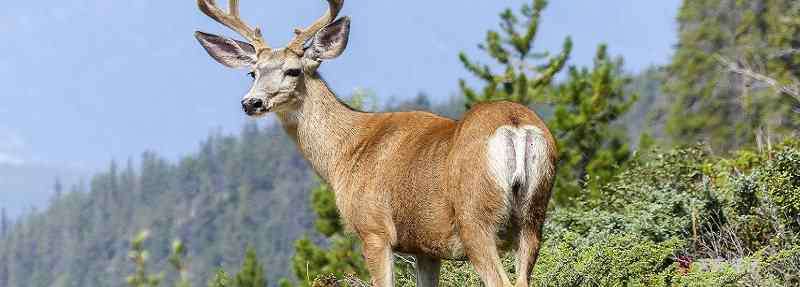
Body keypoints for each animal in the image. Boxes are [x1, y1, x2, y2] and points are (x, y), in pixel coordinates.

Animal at [193, 1, 556, 286]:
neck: (346, 152)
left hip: (476, 218)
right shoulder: (425, 246)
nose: (251, 103)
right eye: (252, 72)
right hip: (534, 215)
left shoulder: (374, 230)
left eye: (293, 71)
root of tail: (515, 127)